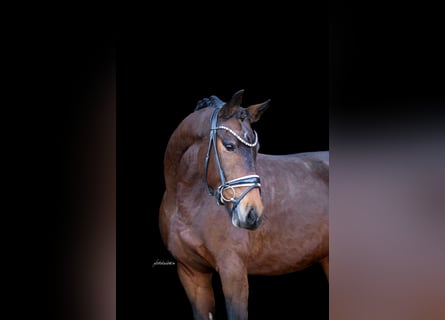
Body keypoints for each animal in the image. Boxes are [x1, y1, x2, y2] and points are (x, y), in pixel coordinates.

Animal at [158, 90, 328, 320]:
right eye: (229, 146)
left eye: (257, 149)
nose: (252, 214)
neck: (185, 203)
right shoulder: (192, 275)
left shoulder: (234, 272)